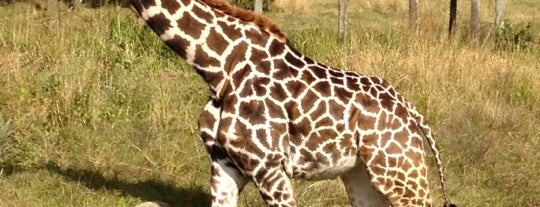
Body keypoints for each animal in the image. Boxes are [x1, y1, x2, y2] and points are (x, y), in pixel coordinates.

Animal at [130, 0, 456, 207]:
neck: (219, 67)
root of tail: (411, 111)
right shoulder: (224, 163)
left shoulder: (269, 166)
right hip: (362, 173)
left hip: (401, 172)